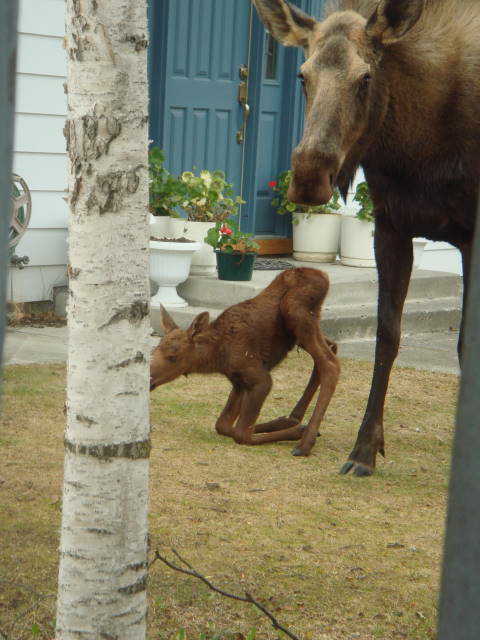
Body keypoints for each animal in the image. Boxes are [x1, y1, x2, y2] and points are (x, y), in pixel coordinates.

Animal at [151, 268, 342, 458]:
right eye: (154, 350)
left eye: (173, 356)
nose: (149, 380)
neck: (216, 357)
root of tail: (324, 276)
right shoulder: (238, 381)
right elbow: (223, 425)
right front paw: (283, 424)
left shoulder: (260, 378)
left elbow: (241, 433)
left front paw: (297, 432)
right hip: (301, 331)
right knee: (331, 347)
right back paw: (294, 418)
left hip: (296, 312)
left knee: (330, 363)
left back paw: (305, 442)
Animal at [253, 0, 478, 476]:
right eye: (302, 75)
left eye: (366, 78)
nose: (309, 176)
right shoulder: (391, 227)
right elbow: (387, 336)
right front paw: (365, 448)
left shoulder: (472, 238)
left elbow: (465, 345)